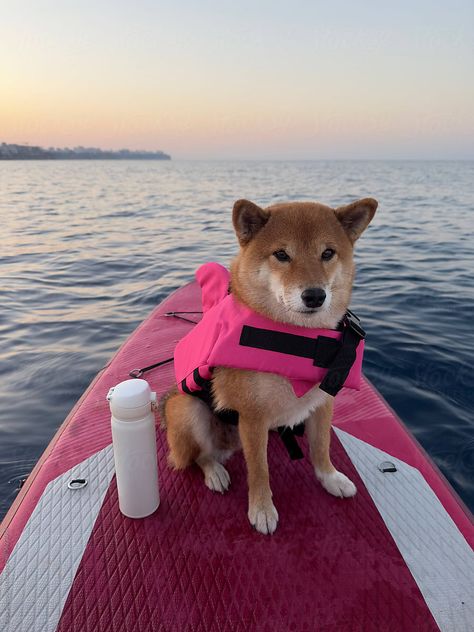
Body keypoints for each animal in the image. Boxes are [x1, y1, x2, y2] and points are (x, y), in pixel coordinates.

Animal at [162, 199, 378, 532]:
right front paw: (262, 509)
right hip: (188, 411)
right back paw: (215, 472)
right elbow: (259, 469)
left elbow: (321, 447)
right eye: (281, 254)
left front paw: (330, 478)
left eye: (328, 253)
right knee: (199, 456)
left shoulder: (322, 403)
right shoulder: (253, 417)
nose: (314, 296)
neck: (298, 338)